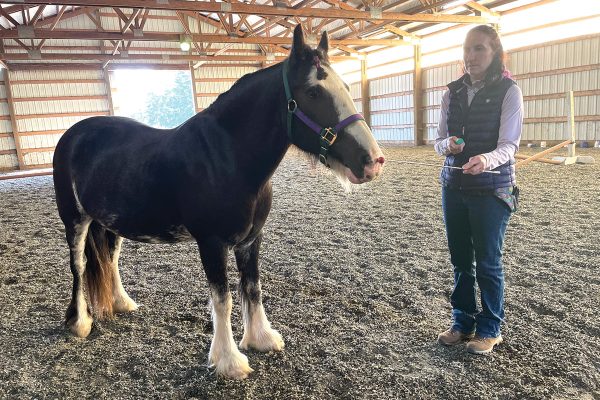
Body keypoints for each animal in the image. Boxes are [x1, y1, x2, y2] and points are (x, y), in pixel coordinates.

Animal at [55, 23, 384, 380]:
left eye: (346, 86)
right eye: (313, 92)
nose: (373, 160)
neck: (227, 158)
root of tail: (75, 133)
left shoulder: (251, 239)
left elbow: (252, 287)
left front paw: (261, 339)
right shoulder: (211, 243)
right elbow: (223, 299)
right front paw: (229, 361)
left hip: (111, 223)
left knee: (110, 260)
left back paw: (121, 303)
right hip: (75, 220)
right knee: (78, 265)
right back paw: (79, 322)